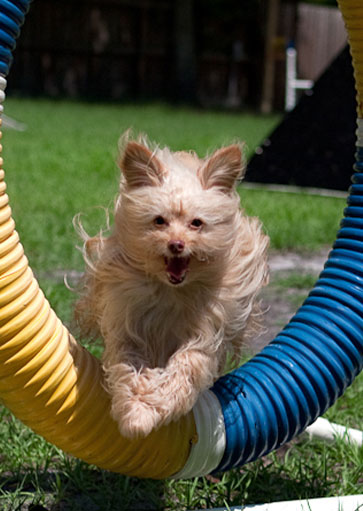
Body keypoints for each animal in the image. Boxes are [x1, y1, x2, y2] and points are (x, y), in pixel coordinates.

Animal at [75, 133, 270, 440]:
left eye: (196, 223)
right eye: (159, 221)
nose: (176, 244)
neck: (172, 290)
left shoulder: (207, 328)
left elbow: (187, 365)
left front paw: (154, 407)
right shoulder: (129, 321)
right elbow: (128, 365)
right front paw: (136, 415)